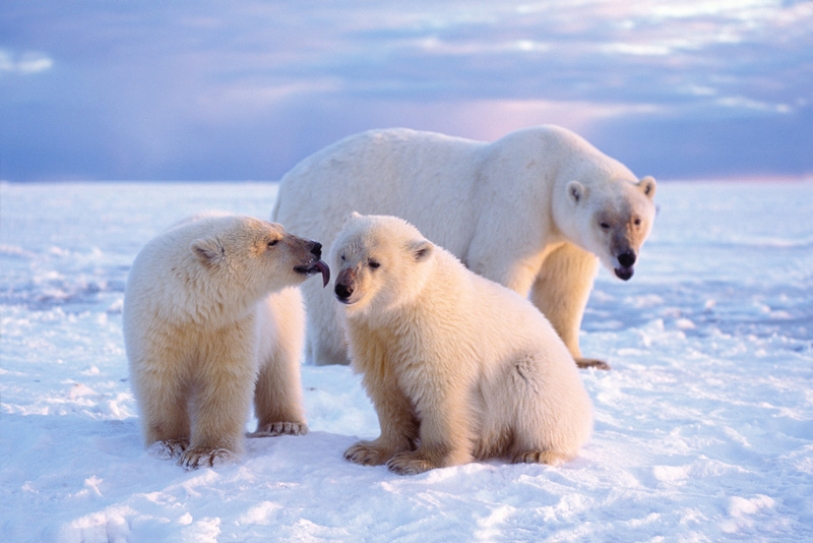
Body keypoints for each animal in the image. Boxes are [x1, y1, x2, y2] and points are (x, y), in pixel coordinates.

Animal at [122, 214, 330, 469]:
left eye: (282, 230)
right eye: (272, 241)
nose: (316, 246)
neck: (192, 308)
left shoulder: (232, 326)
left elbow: (224, 379)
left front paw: (207, 453)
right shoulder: (159, 326)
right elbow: (160, 380)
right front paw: (168, 445)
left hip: (283, 319)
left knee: (279, 368)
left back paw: (283, 424)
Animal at [273, 125, 657, 370]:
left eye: (637, 220)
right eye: (604, 222)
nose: (626, 258)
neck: (552, 171)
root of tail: (286, 183)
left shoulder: (564, 238)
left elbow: (565, 287)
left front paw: (586, 358)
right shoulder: (517, 203)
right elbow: (502, 265)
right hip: (329, 212)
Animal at [332, 213, 593, 475]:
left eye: (374, 262)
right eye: (342, 255)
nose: (343, 288)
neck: (401, 310)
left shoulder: (433, 334)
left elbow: (442, 394)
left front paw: (417, 461)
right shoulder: (374, 337)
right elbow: (387, 391)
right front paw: (367, 450)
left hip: (541, 373)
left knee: (533, 388)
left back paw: (537, 452)